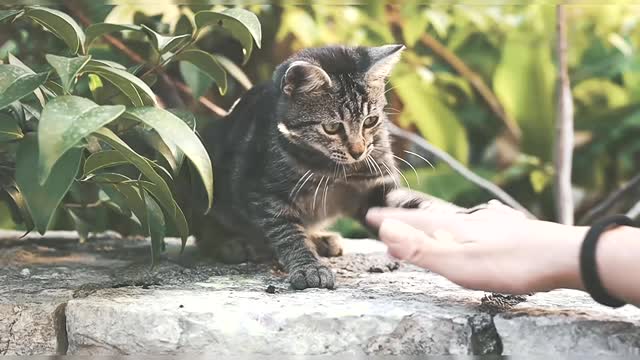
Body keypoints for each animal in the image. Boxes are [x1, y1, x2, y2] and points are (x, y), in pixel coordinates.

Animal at [195, 44, 432, 290]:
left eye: (370, 121)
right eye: (332, 127)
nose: (358, 151)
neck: (335, 169)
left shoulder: (376, 186)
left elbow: (407, 208)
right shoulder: (265, 193)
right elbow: (289, 234)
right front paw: (310, 267)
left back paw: (321, 239)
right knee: (204, 229)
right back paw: (231, 244)